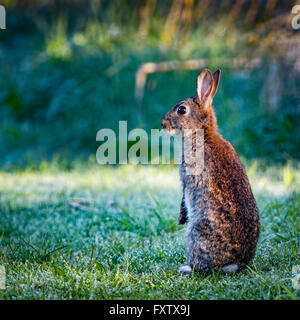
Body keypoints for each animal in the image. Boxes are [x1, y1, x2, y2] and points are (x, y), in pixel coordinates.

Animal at [162, 69, 260, 274]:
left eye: (181, 110)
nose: (163, 123)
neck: (202, 133)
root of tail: (235, 263)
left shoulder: (187, 178)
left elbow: (184, 196)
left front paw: (181, 217)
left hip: (196, 232)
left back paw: (186, 269)